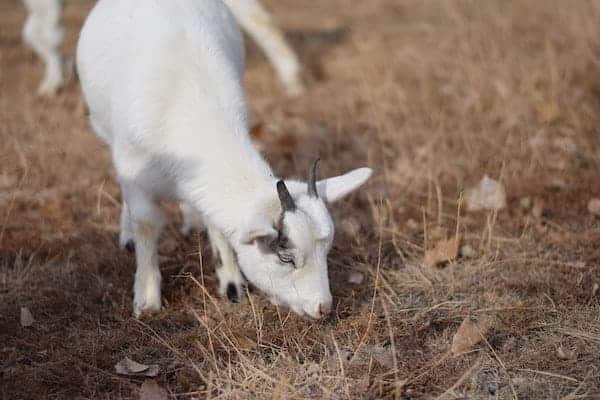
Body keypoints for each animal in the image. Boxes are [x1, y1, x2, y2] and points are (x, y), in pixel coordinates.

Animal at [22, 0, 304, 96]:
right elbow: (34, 33)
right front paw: (61, 73)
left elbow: (46, 34)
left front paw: (53, 82)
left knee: (256, 18)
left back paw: (292, 79)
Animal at [76, 0, 370, 318]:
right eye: (286, 258)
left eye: (326, 250)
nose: (323, 307)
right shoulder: (135, 169)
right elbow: (146, 225)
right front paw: (147, 299)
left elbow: (215, 222)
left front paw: (231, 284)